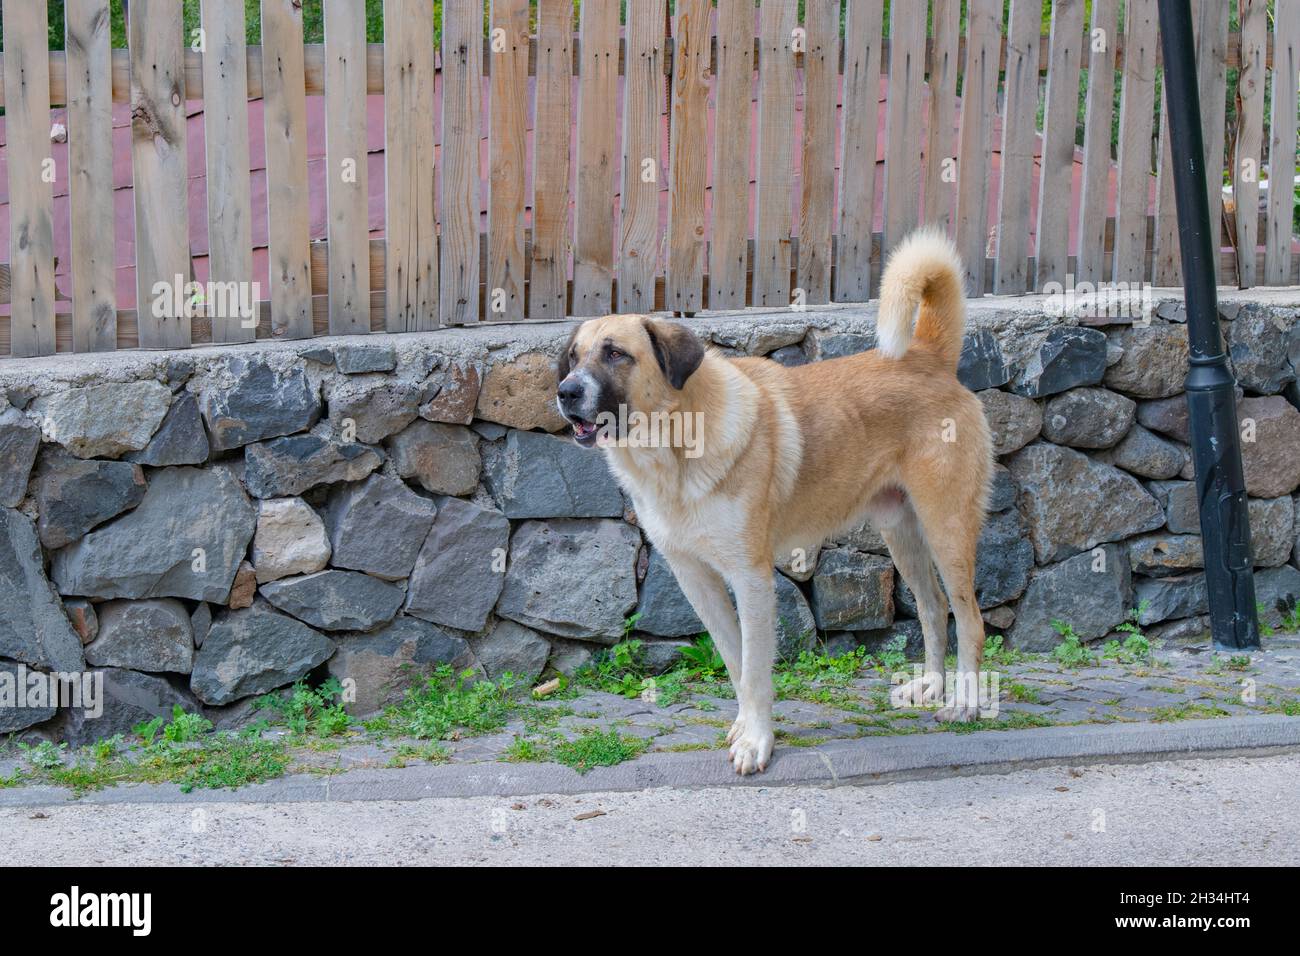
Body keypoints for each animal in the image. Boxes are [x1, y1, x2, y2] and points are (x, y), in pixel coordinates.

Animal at [553, 231, 987, 780]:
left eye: (615, 354)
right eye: (573, 357)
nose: (565, 392)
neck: (674, 449)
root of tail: (928, 356)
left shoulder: (752, 578)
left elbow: (757, 668)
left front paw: (757, 742)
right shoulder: (695, 578)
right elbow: (736, 661)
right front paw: (746, 727)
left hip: (946, 527)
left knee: (969, 617)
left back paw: (966, 701)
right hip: (901, 532)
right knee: (932, 609)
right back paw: (930, 686)